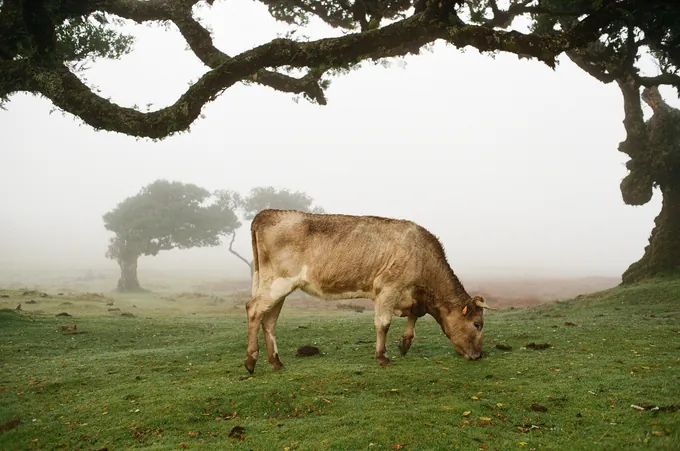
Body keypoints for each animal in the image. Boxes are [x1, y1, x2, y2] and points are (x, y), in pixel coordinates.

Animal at [244, 209, 494, 373]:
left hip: (276, 286)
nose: (478, 355)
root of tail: (268, 213)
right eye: (477, 324)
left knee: (270, 320)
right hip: (279, 282)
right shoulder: (388, 287)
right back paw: (251, 361)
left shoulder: (411, 296)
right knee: (254, 309)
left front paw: (404, 344)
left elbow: (414, 317)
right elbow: (383, 323)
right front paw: (383, 357)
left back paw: (276, 362)